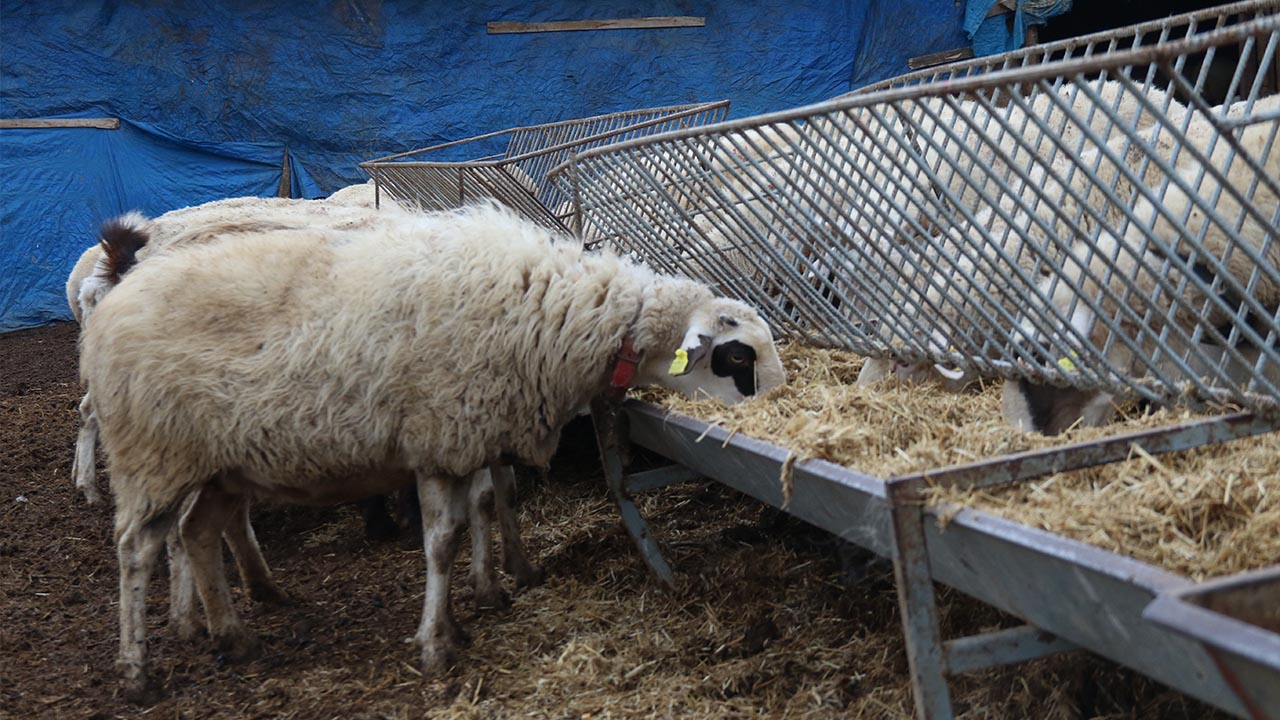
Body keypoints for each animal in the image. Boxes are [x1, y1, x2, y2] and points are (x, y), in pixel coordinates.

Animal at [85, 197, 783, 696]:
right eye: (738, 356)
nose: (777, 405)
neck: (561, 315)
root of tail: (114, 301)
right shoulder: (441, 437)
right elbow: (441, 541)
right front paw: (437, 644)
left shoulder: (470, 437)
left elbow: (480, 510)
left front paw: (479, 602)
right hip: (154, 453)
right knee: (136, 550)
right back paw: (137, 671)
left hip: (218, 464)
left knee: (199, 534)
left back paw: (234, 637)